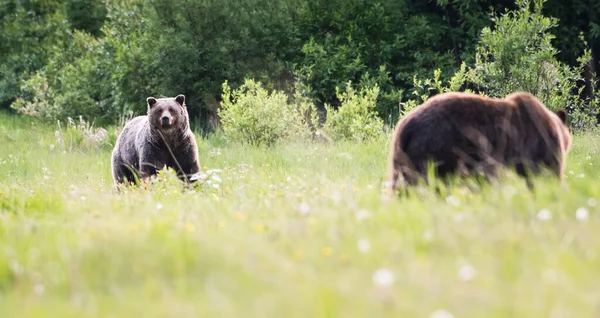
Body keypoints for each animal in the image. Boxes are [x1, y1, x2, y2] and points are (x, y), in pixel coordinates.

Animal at [390, 90, 572, 195]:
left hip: (402, 156)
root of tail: (405, 125)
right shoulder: (538, 149)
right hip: (435, 151)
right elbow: (545, 175)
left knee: (401, 185)